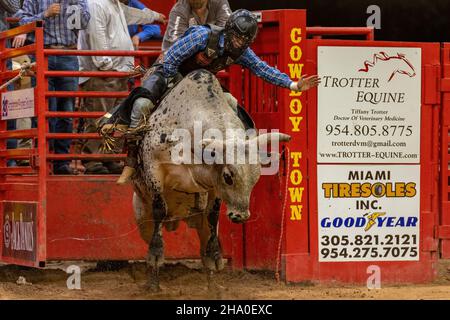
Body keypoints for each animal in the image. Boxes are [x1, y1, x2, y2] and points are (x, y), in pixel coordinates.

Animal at [123, 69, 292, 290]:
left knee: (204, 248)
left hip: (199, 223)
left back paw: (212, 284)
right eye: (228, 176)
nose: (241, 216)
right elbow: (159, 208)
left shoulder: (212, 186)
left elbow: (213, 214)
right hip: (141, 215)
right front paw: (156, 255)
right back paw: (153, 284)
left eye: (256, 178)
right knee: (152, 229)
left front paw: (215, 256)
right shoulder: (154, 169)